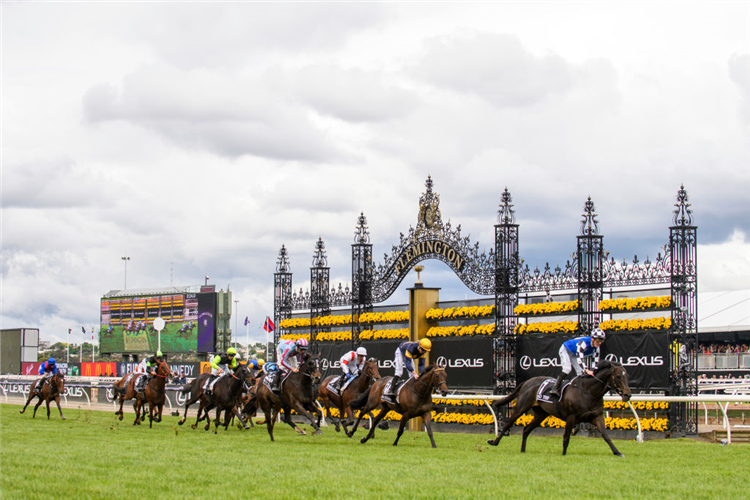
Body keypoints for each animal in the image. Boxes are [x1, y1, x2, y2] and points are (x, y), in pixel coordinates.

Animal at [488, 360, 636, 458]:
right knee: (508, 424)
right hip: (520, 408)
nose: (627, 395)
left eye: (628, 376)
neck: (588, 392)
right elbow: (566, 437)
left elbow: (606, 436)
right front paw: (564, 454)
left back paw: (523, 450)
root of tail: (527, 382)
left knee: (526, 430)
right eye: (618, 376)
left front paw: (617, 452)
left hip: (541, 414)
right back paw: (494, 442)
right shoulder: (571, 417)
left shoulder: (597, 416)